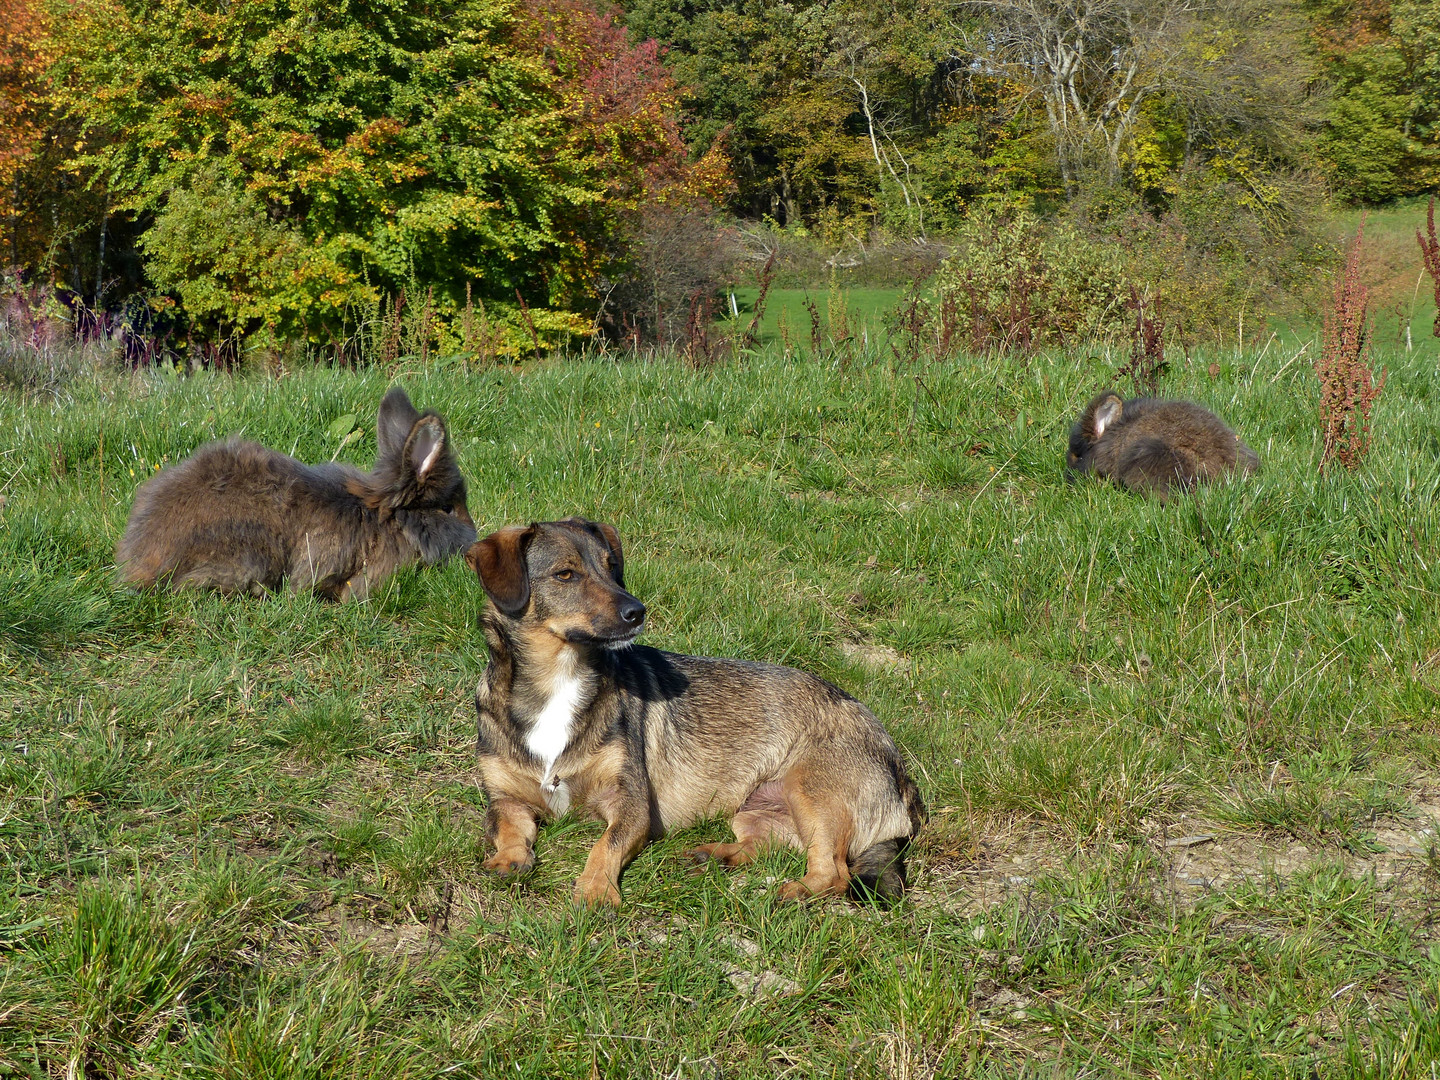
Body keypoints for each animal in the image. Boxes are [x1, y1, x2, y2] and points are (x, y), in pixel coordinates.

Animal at [466, 521, 927, 910]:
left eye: (612, 568)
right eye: (565, 575)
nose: (638, 611)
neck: (560, 679)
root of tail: (899, 770)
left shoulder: (631, 805)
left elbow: (605, 845)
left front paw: (596, 890)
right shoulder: (504, 798)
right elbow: (508, 828)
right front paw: (509, 859)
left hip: (811, 790)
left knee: (834, 873)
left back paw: (792, 891)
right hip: (754, 812)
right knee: (767, 847)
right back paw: (713, 855)